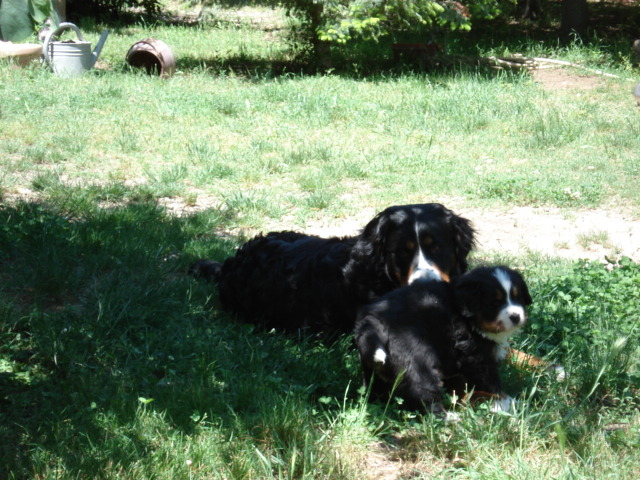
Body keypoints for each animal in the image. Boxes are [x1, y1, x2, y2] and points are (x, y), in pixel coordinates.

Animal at [352, 266, 532, 416]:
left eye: (517, 297)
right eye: (494, 303)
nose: (516, 316)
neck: (466, 316)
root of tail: (373, 322)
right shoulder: (475, 356)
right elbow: (492, 384)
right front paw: (508, 403)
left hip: (373, 366)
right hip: (416, 364)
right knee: (422, 394)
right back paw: (449, 418)